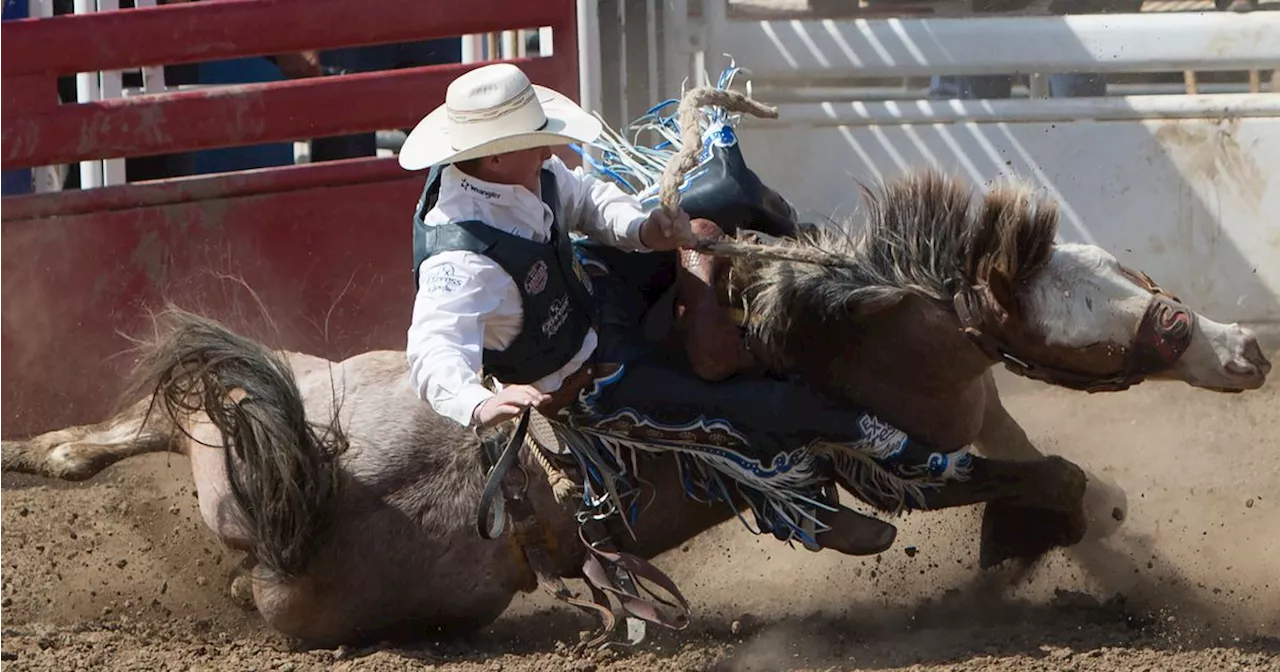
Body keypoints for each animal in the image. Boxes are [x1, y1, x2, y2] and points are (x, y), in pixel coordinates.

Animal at [0, 65, 1264, 647]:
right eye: (1145, 324)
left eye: (1148, 282)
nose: (1247, 349)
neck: (884, 321)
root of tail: (296, 498)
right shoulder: (908, 463)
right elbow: (1055, 481)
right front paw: (1014, 557)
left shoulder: (981, 420)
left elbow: (1071, 486)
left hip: (295, 388)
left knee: (182, 406)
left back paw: (37, 454)